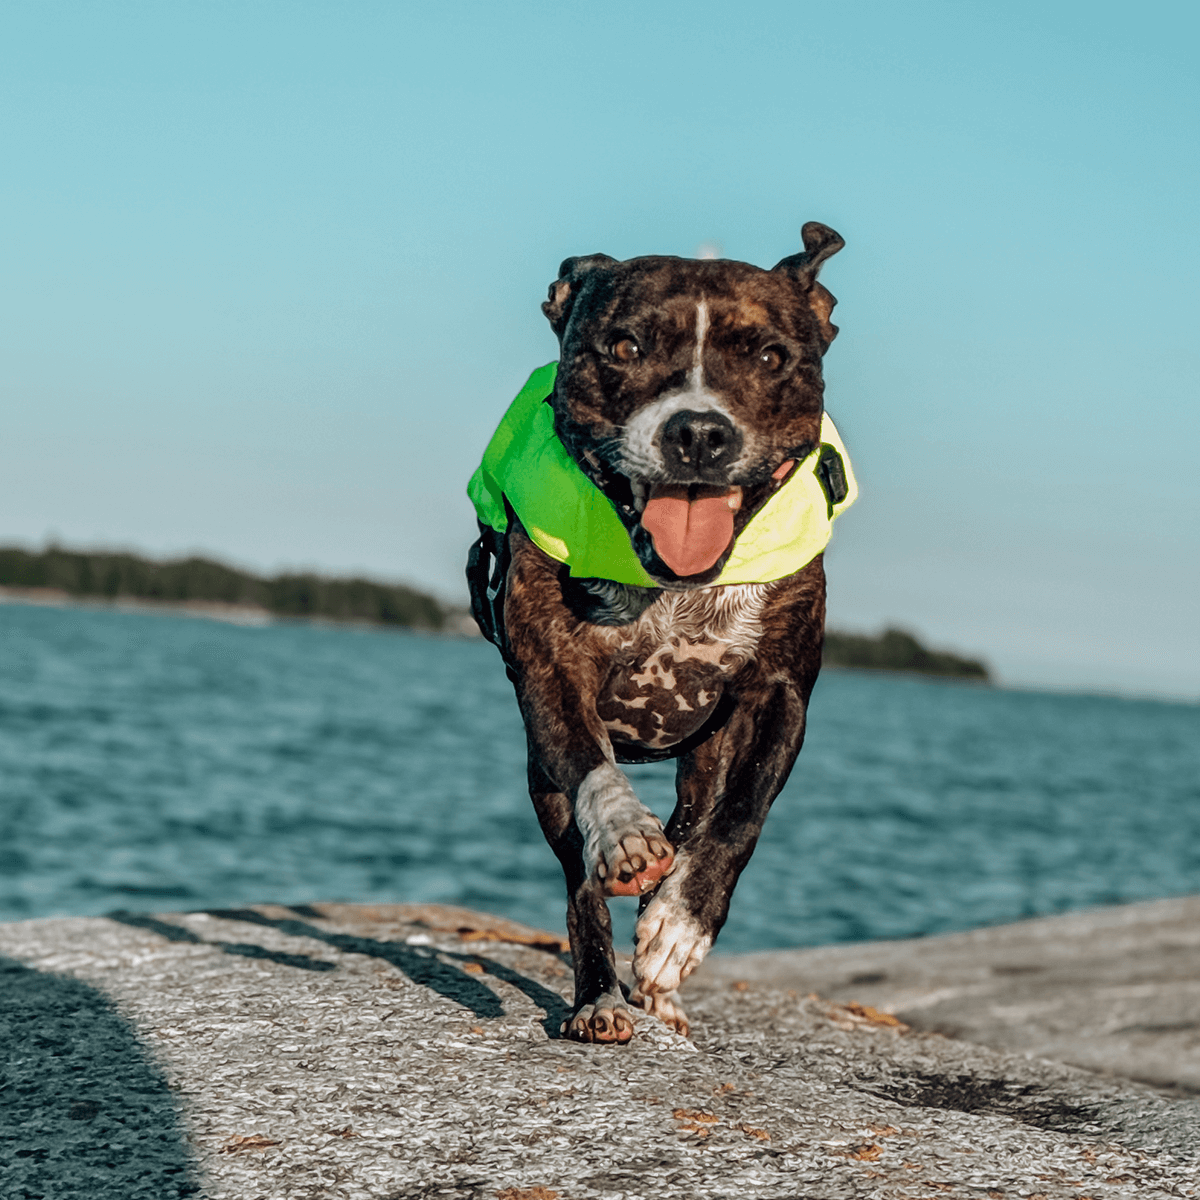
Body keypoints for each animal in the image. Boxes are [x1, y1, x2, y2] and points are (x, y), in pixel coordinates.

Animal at [465, 223, 854, 1041]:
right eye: (624, 346)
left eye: (770, 357)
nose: (699, 432)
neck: (677, 587)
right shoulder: (552, 669)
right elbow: (592, 769)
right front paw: (624, 833)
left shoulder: (780, 695)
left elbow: (740, 817)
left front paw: (681, 924)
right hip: (542, 787)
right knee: (579, 882)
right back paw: (600, 998)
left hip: (701, 761)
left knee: (696, 818)